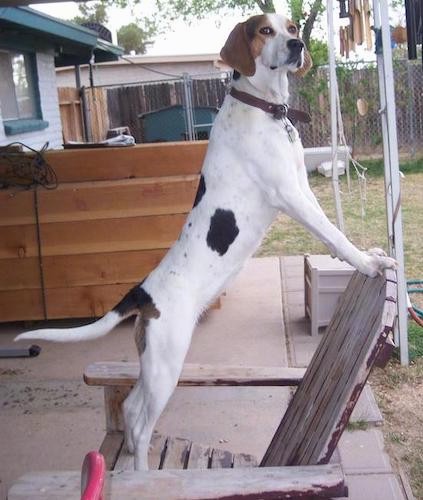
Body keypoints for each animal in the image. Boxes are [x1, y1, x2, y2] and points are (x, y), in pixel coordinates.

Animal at [14, 14, 396, 468]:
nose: (297, 45)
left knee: (130, 409)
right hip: (167, 363)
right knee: (139, 424)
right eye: (264, 31)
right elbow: (334, 235)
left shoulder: (302, 186)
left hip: (153, 360)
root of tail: (143, 291)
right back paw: (143, 474)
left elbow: (333, 229)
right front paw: (369, 263)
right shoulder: (289, 194)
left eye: (290, 26)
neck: (264, 108)